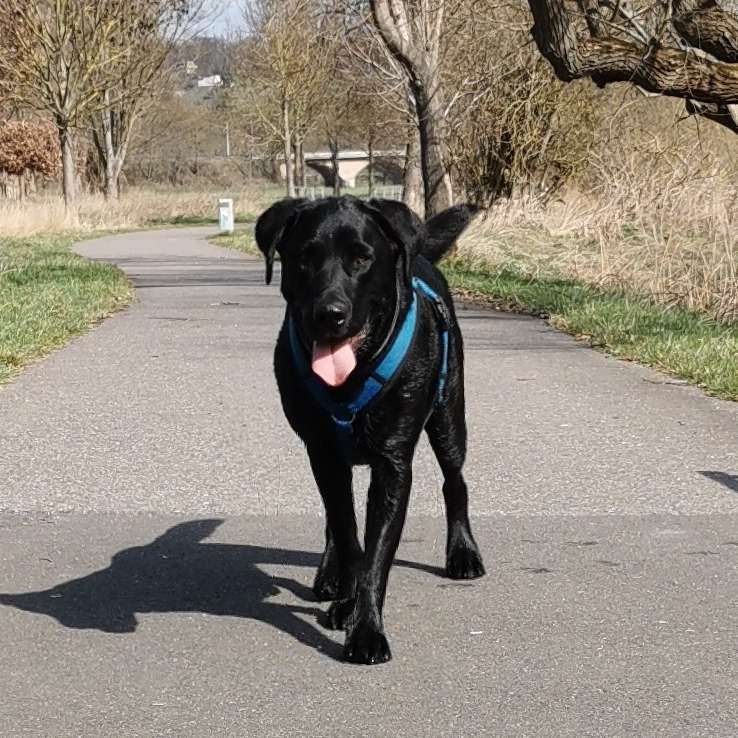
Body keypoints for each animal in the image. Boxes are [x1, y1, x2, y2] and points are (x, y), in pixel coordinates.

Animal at [253, 194, 484, 660]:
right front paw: (346, 598)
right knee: (333, 516)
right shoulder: (322, 453)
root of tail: (418, 254)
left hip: (449, 416)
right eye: (304, 259)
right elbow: (347, 533)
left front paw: (365, 630)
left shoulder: (393, 466)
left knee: (455, 481)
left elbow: (377, 554)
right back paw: (330, 576)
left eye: (362, 259)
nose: (330, 314)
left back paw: (463, 553)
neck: (351, 381)